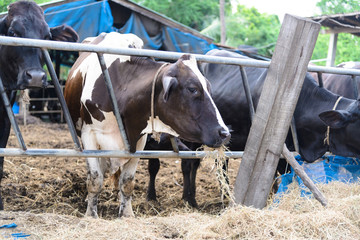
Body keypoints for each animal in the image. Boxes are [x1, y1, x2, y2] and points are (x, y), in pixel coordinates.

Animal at [63, 31, 229, 218]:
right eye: (192, 89)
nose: (224, 133)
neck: (120, 84)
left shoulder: (138, 140)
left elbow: (127, 182)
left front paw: (127, 214)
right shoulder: (89, 135)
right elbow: (95, 179)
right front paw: (91, 215)